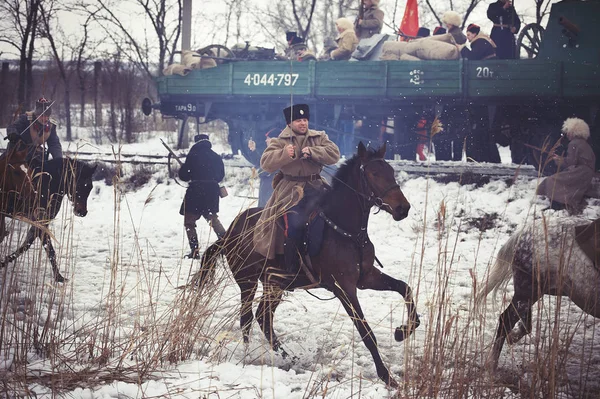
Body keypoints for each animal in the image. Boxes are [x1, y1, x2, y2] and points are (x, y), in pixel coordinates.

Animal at [199, 143, 420, 388]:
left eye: (390, 171)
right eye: (374, 173)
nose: (403, 208)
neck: (346, 230)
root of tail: (229, 231)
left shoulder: (367, 277)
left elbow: (404, 288)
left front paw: (404, 330)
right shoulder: (344, 288)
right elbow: (366, 332)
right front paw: (386, 376)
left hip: (274, 285)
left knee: (263, 317)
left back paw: (288, 357)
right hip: (248, 282)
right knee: (246, 318)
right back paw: (249, 355)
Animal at [476, 217, 596, 370]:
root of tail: (524, 231)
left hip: (533, 291)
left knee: (521, 319)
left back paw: (511, 338)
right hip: (528, 289)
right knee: (506, 319)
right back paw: (492, 363)